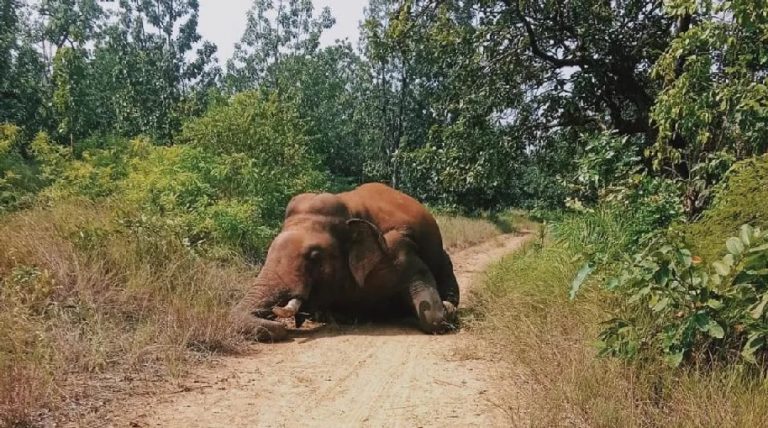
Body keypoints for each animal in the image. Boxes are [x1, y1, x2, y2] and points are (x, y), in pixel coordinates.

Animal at [231, 182, 461, 341]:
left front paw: (447, 309)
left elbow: (431, 311)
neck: (350, 212)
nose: (281, 328)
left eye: (314, 256)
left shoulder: (397, 247)